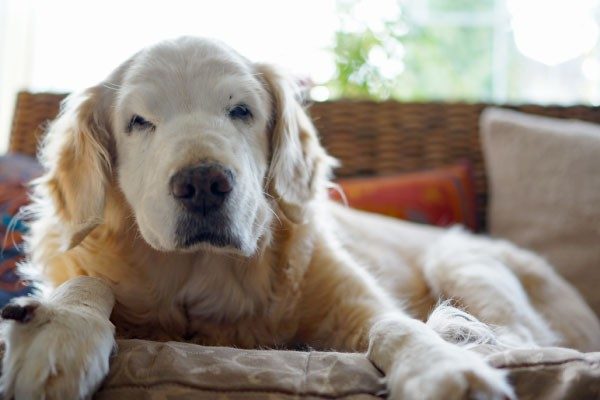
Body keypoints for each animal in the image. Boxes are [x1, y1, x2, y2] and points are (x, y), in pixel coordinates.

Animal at [1, 36, 600, 398]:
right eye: (138, 122)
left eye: (241, 111)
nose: (203, 184)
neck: (201, 278)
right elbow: (87, 284)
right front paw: (58, 331)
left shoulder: (356, 301)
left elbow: (395, 324)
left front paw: (441, 367)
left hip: (461, 258)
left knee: (516, 338)